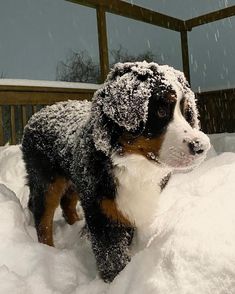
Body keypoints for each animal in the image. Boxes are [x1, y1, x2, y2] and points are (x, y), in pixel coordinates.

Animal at [21, 61, 210, 282]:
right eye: (161, 111)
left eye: (187, 111)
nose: (201, 146)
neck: (133, 166)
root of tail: (40, 113)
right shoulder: (103, 210)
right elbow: (113, 258)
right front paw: (118, 282)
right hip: (47, 181)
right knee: (43, 217)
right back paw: (48, 252)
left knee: (67, 202)